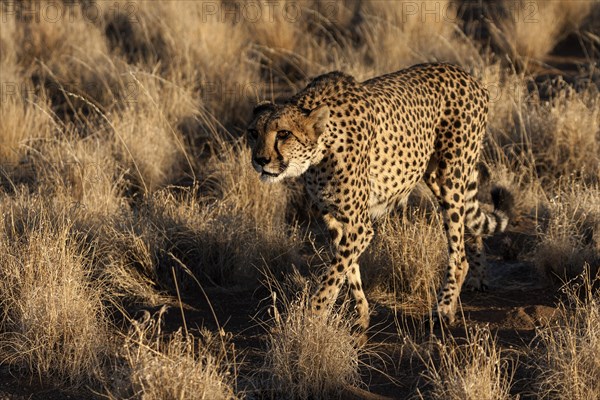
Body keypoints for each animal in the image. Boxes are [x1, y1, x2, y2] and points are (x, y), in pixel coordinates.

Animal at [244, 63, 510, 332]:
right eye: (253, 133)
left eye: (283, 134)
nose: (260, 160)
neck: (320, 149)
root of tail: (466, 75)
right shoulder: (336, 220)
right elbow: (348, 271)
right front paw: (361, 315)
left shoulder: (359, 225)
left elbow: (332, 276)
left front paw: (312, 318)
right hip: (436, 176)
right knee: (469, 223)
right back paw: (477, 278)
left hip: (451, 177)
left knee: (458, 255)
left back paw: (443, 310)